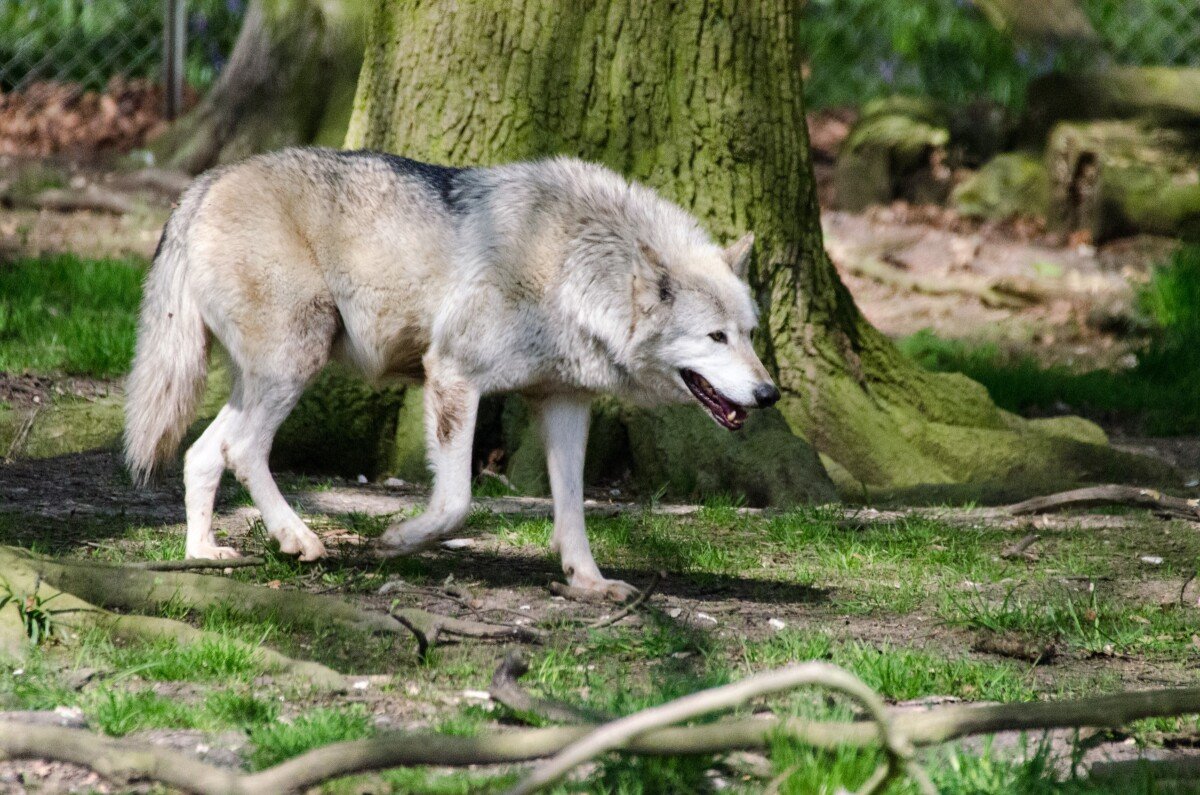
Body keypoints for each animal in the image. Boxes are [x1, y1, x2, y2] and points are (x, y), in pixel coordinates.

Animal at [124, 148, 780, 600]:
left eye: (749, 333)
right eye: (715, 337)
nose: (770, 393)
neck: (573, 267)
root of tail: (205, 183)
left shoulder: (564, 402)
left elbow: (573, 510)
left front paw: (589, 583)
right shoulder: (453, 375)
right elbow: (457, 502)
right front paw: (396, 542)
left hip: (265, 379)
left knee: (202, 453)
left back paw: (204, 553)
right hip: (294, 368)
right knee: (241, 449)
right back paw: (297, 538)